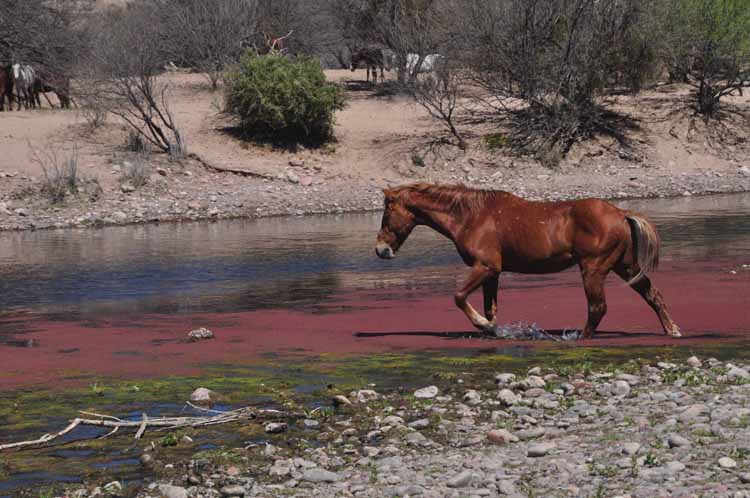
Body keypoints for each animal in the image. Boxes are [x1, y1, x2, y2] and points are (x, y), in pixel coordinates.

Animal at [374, 185, 680, 340]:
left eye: (386, 213)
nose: (380, 250)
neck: (471, 216)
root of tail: (620, 213)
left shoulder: (486, 267)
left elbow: (459, 296)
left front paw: (482, 324)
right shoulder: (493, 274)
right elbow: (491, 307)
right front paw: (493, 329)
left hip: (593, 269)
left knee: (598, 307)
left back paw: (579, 337)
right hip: (625, 267)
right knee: (652, 294)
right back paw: (672, 330)